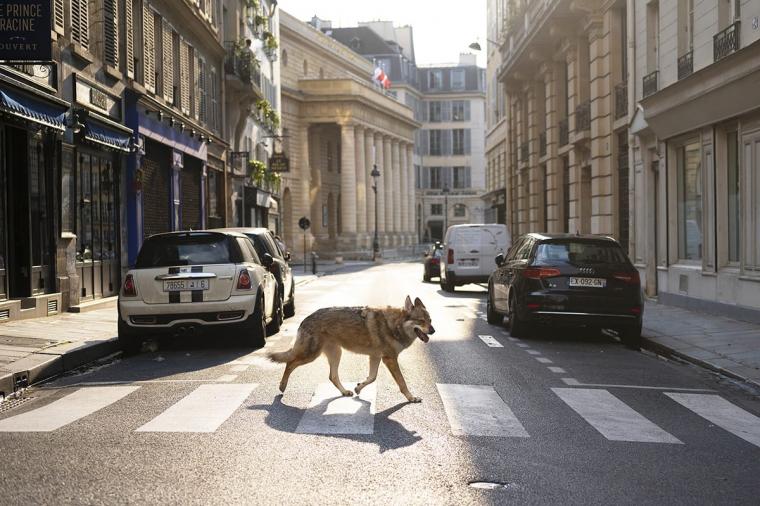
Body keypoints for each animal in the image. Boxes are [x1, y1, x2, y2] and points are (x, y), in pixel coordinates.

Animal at [268, 296, 434, 403]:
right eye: (421, 321)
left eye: (430, 320)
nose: (433, 331)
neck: (394, 325)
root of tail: (305, 319)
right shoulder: (389, 359)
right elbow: (402, 382)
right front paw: (411, 398)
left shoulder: (376, 357)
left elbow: (372, 378)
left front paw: (358, 388)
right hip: (311, 355)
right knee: (290, 363)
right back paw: (282, 386)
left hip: (336, 354)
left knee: (332, 376)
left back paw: (345, 392)